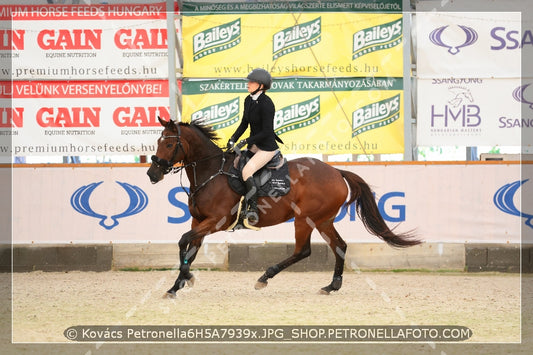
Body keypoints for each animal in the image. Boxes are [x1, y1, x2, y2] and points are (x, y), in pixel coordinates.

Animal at [147, 119, 420, 298]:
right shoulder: (199, 222)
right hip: (323, 220)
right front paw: (176, 285)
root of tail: (336, 171)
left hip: (305, 219)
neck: (211, 172)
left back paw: (264, 278)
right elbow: (189, 249)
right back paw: (331, 286)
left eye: (169, 145)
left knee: (303, 250)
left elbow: (183, 241)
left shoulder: (216, 221)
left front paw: (186, 278)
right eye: (158, 142)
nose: (152, 173)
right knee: (340, 246)